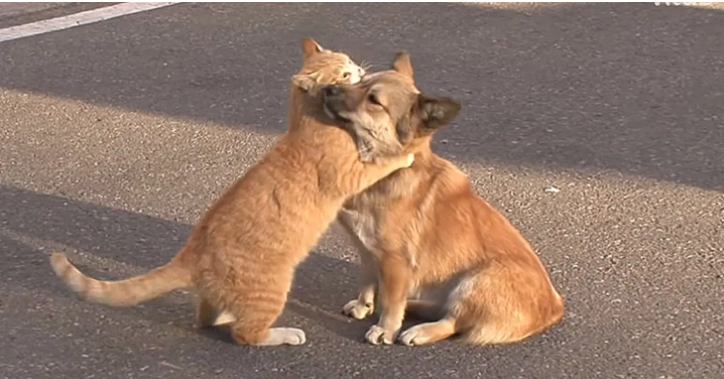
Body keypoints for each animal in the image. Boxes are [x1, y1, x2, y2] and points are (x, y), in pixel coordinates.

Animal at [49, 38, 412, 348]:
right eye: (346, 74)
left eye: (350, 63)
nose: (362, 70)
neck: (306, 119)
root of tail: (191, 253)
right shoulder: (352, 173)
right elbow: (382, 162)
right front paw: (403, 155)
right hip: (273, 289)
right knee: (246, 333)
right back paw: (284, 334)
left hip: (218, 297)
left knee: (206, 319)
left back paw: (222, 317)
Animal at [324, 53, 564, 348]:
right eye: (361, 80)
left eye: (374, 100)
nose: (328, 89)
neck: (388, 171)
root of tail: (554, 307)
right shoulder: (368, 251)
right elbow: (367, 283)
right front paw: (363, 305)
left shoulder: (395, 262)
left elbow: (392, 303)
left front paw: (385, 329)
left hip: (476, 281)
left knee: (454, 322)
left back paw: (420, 330)